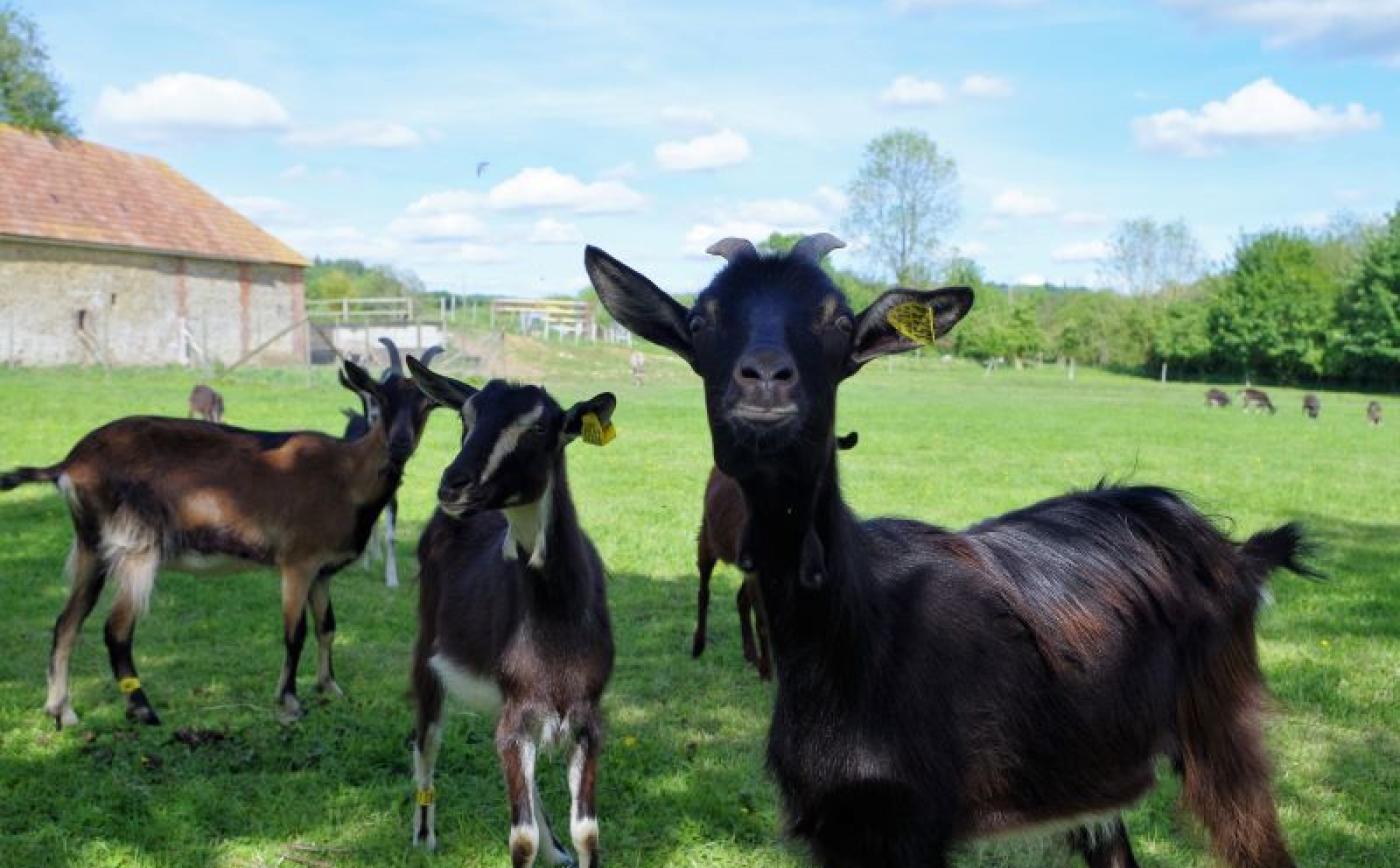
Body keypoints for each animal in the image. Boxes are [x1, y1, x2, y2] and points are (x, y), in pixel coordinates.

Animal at [588, 232, 1310, 868]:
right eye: (702, 319)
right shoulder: (837, 828)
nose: (765, 379)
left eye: (838, 319)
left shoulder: (915, 823)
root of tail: (1234, 550)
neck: (851, 635)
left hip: (1222, 729)